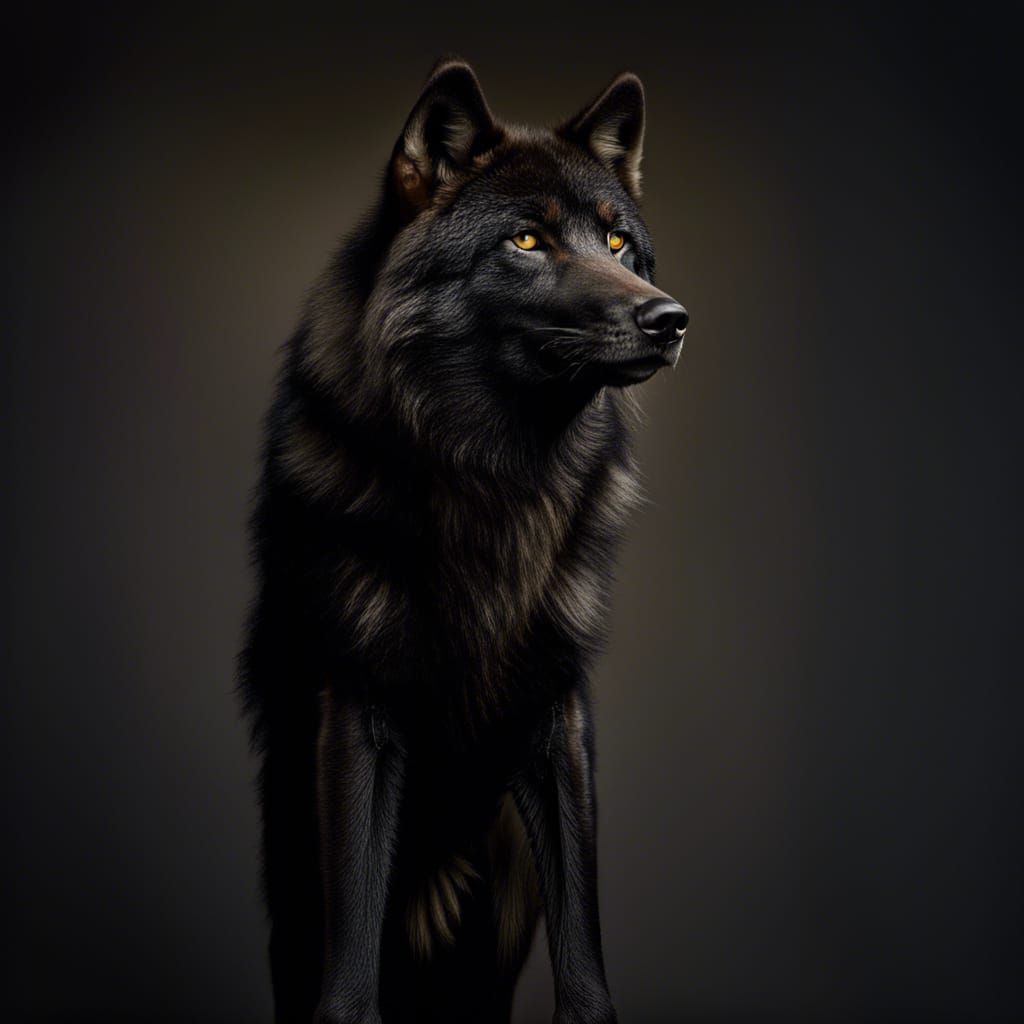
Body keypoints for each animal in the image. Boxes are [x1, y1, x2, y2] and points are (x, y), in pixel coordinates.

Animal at [239, 57, 688, 1024]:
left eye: (619, 243)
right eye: (525, 241)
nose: (670, 319)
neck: (491, 474)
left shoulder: (556, 710)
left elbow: (584, 961)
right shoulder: (357, 709)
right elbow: (351, 973)